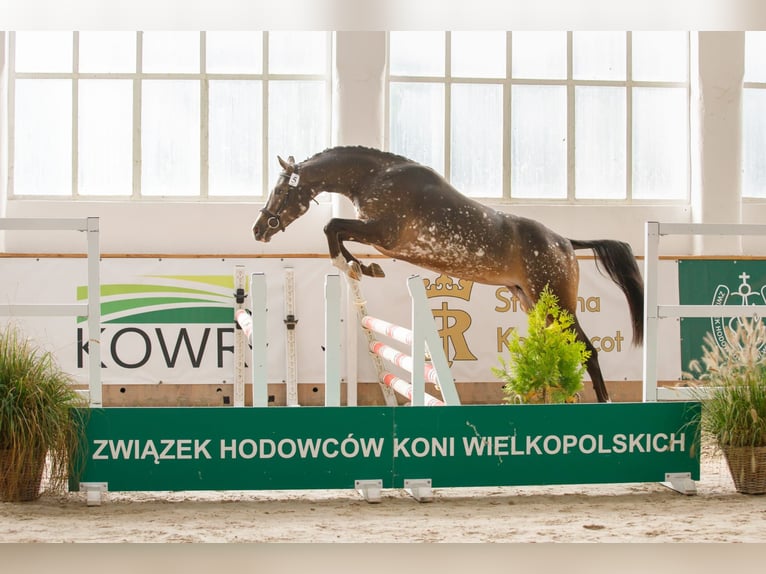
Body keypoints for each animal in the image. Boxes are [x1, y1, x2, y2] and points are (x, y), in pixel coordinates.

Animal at [252, 146, 644, 403]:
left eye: (280, 190)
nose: (258, 229)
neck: (374, 178)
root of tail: (564, 241)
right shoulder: (379, 236)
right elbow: (337, 233)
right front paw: (363, 268)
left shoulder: (384, 233)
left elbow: (333, 227)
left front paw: (353, 266)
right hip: (531, 300)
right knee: (567, 347)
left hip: (558, 301)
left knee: (589, 350)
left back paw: (604, 402)